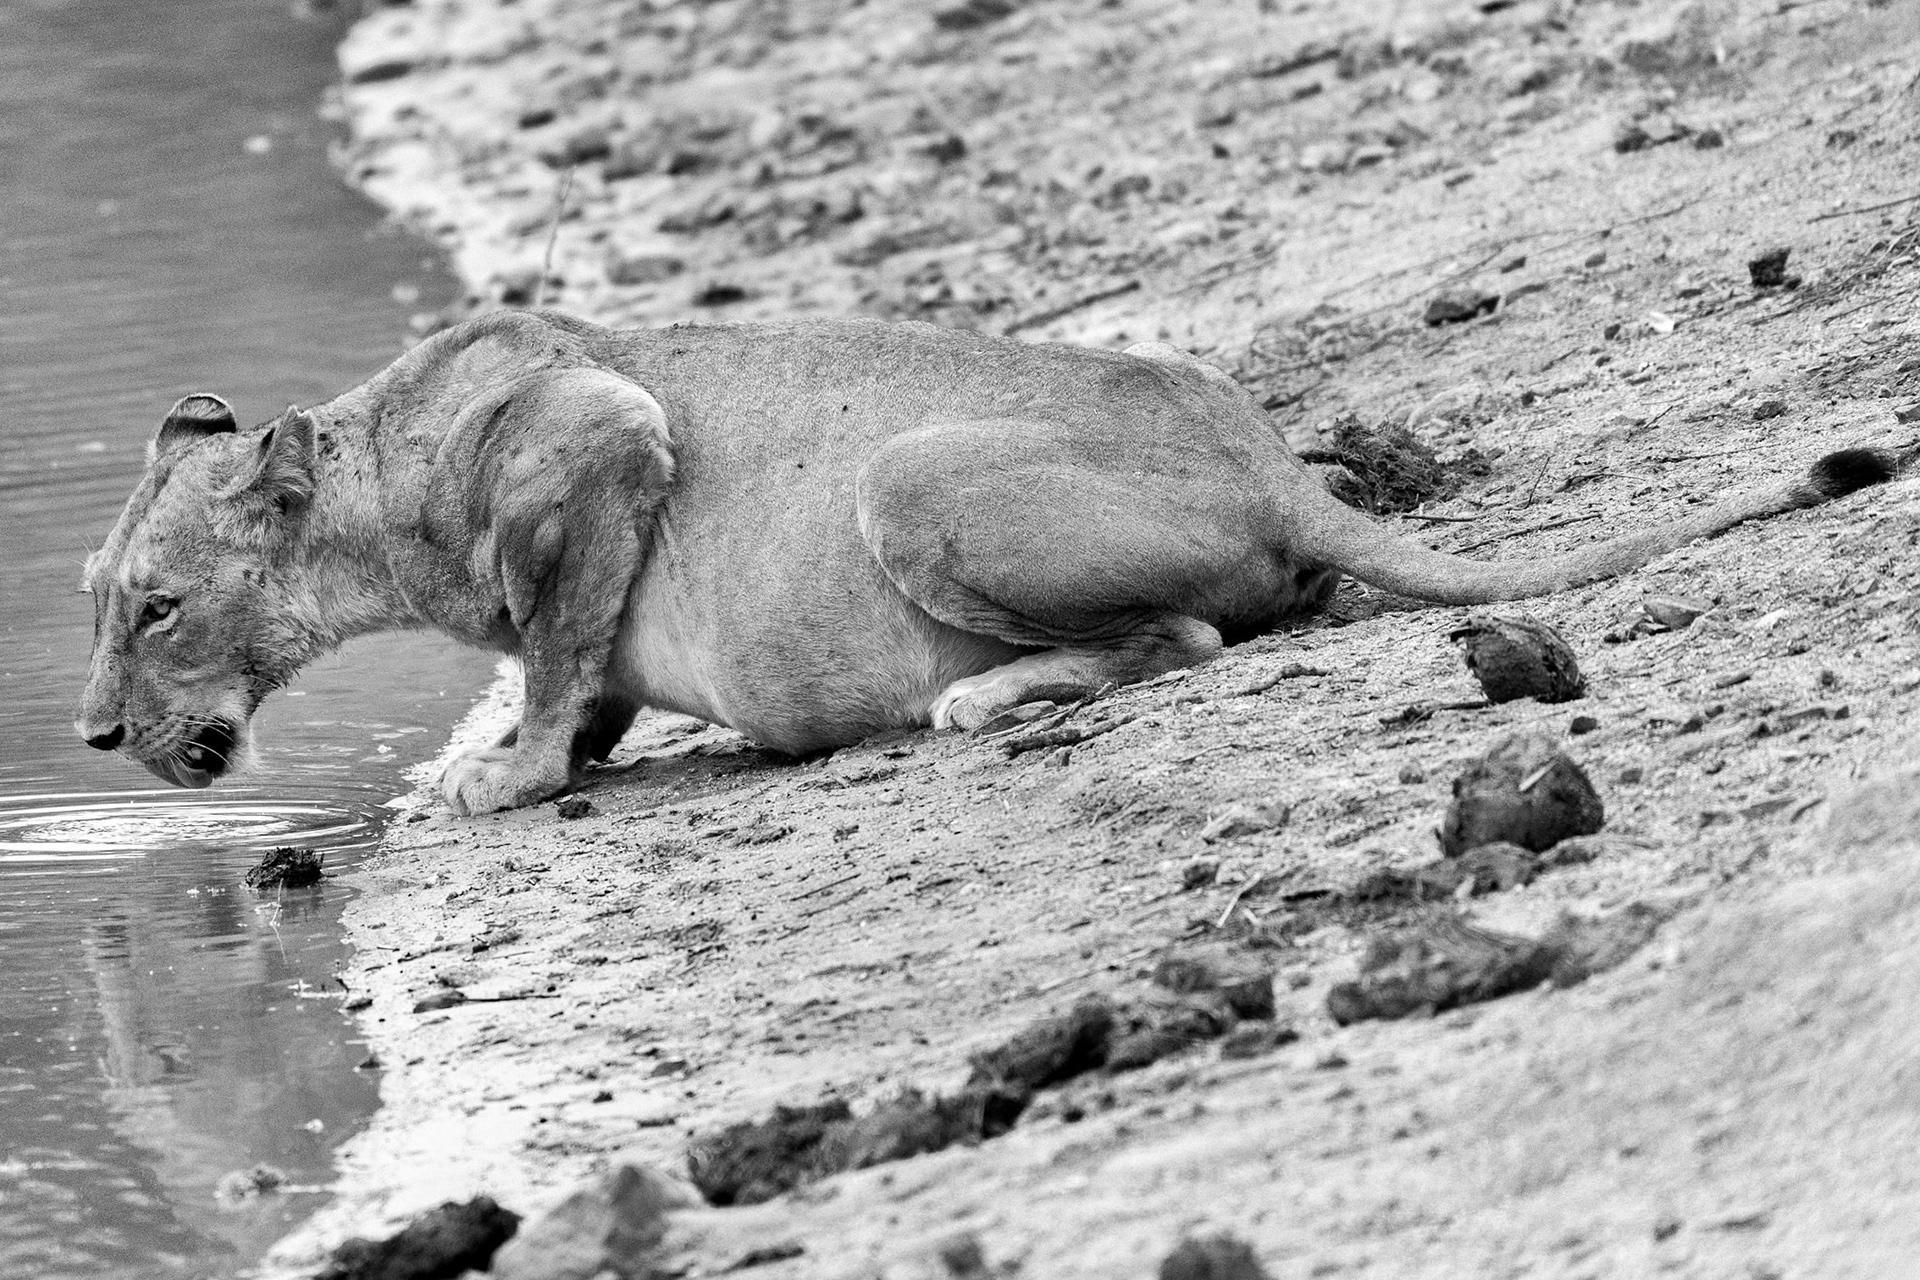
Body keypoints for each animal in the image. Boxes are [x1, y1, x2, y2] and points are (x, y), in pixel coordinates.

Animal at [76, 310, 1893, 814]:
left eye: (156, 609)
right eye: (102, 607)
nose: (90, 738)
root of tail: (1274, 462)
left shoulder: (605, 432)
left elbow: (556, 646)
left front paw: (502, 779)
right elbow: (575, 668)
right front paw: (557, 748)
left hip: (905, 474)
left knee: (1185, 642)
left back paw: (983, 700)